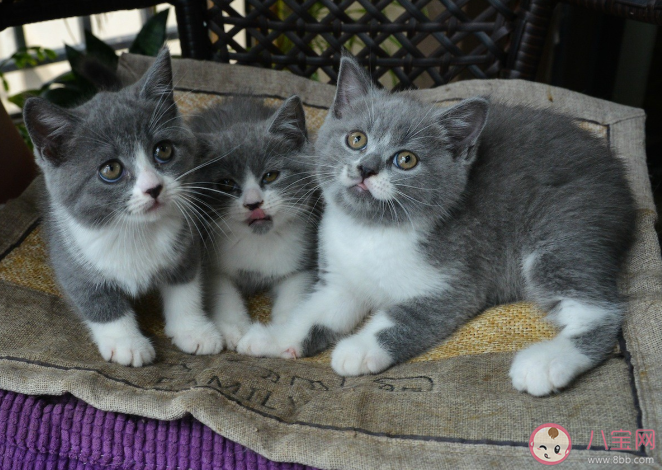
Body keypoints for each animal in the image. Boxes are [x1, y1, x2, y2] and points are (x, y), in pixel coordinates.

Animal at [22, 47, 223, 366]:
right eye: (111, 169)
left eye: (163, 150)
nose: (154, 188)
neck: (135, 231)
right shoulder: (68, 256)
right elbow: (97, 301)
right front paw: (127, 343)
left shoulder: (186, 244)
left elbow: (185, 288)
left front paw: (194, 330)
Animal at [191, 95, 320, 350]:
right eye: (226, 184)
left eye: (270, 175)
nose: (254, 203)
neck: (259, 242)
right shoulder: (211, 261)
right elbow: (222, 292)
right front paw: (234, 329)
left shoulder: (302, 259)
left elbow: (294, 293)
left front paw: (279, 331)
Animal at [240, 55, 640, 394]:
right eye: (356, 139)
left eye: (405, 160)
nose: (366, 168)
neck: (371, 233)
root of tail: (618, 174)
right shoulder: (339, 280)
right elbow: (314, 312)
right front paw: (275, 338)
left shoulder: (456, 280)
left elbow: (404, 317)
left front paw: (358, 348)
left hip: (564, 225)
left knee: (601, 309)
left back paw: (546, 362)